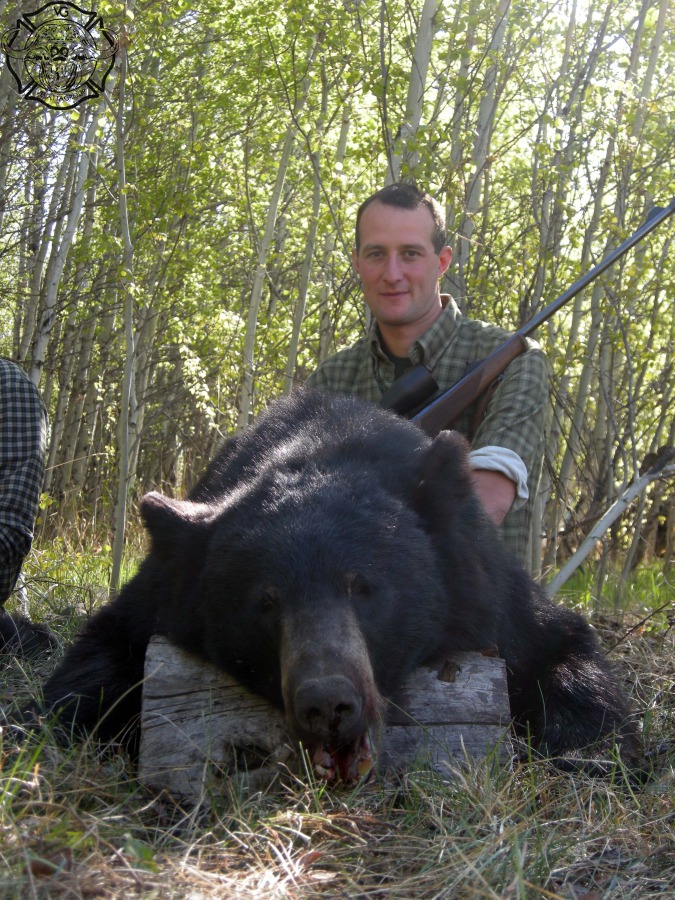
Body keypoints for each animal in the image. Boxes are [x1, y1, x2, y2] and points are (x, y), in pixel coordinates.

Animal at [39, 389, 639, 776]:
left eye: (363, 586)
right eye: (265, 601)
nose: (328, 703)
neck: (323, 447)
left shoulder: (487, 584)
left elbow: (563, 653)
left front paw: (585, 754)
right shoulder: (160, 589)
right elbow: (96, 659)